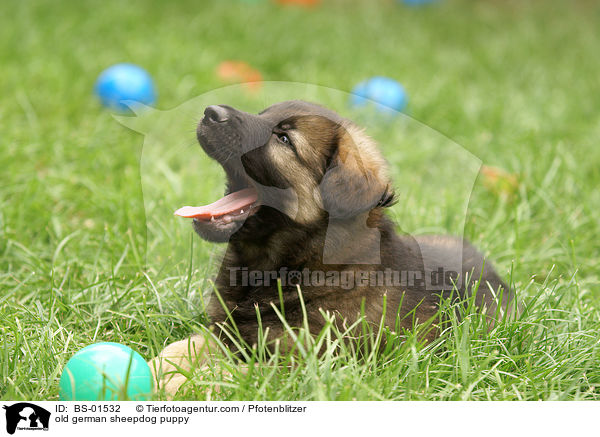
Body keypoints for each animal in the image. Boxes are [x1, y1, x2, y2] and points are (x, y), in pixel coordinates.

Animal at [149, 100, 510, 394]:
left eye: (284, 139)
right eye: (263, 115)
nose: (211, 111)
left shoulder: (307, 364)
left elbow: (227, 373)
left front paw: (180, 384)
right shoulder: (227, 332)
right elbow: (182, 348)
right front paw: (155, 370)